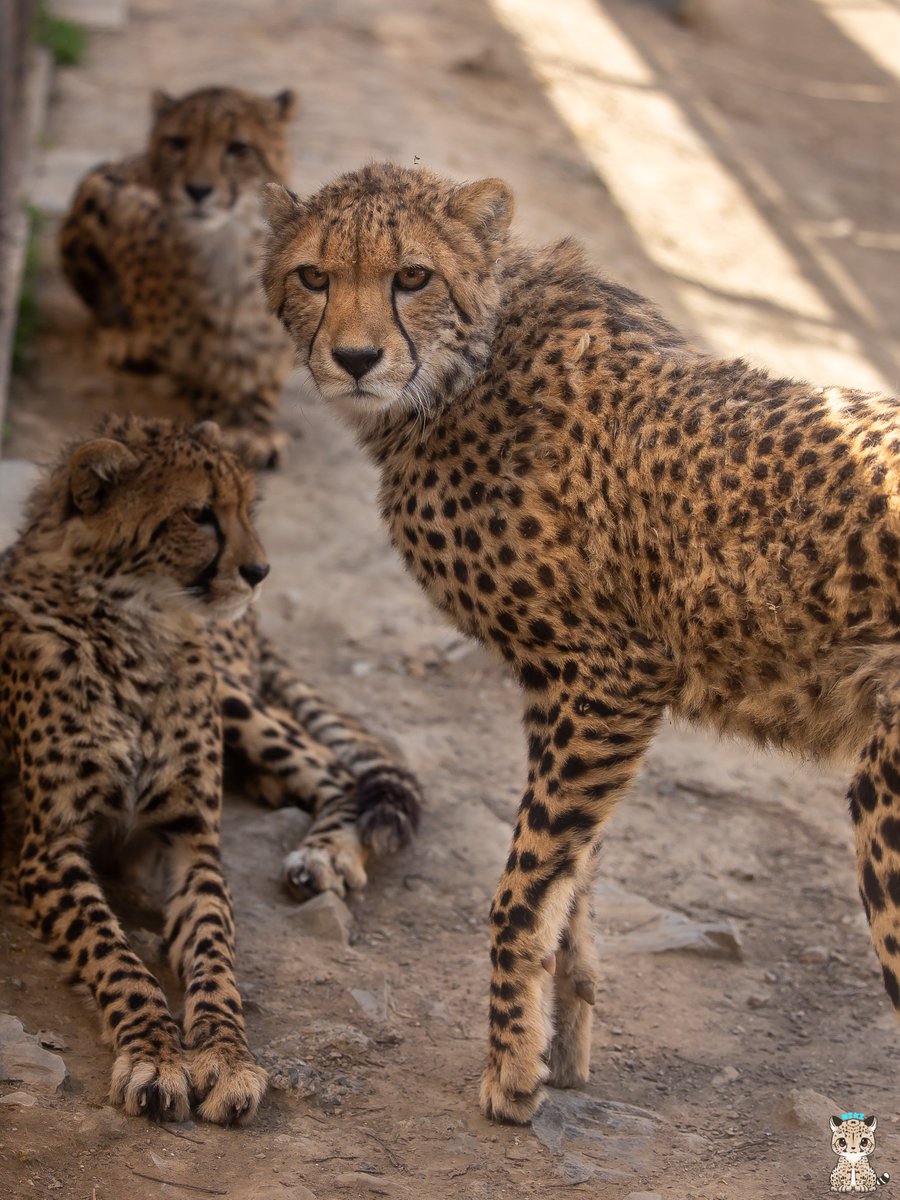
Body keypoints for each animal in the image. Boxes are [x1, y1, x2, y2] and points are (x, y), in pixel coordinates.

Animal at [60, 84, 300, 465]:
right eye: (177, 143)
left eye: (238, 148)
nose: (198, 190)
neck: (228, 244)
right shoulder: (121, 205)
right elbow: (197, 361)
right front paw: (230, 422)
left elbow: (264, 375)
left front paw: (256, 427)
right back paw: (122, 338)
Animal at [262, 162, 900, 1123]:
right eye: (313, 275)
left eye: (412, 276)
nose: (356, 359)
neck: (466, 367)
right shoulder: (561, 687)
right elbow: (572, 872)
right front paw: (560, 1043)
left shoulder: (610, 676)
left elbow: (522, 886)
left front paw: (513, 1075)